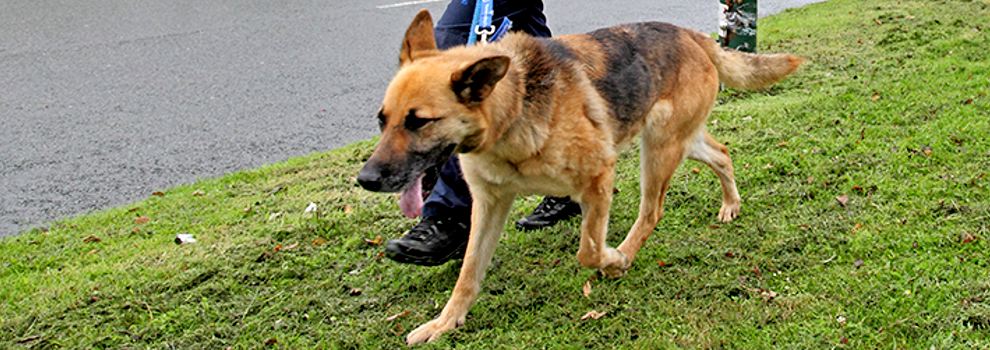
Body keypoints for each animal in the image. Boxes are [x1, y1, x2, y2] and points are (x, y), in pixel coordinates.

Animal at [358, 8, 808, 344]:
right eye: (383, 120)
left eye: (419, 122)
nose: (366, 179)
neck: (512, 108)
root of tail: (692, 35)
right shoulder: (489, 205)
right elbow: (468, 273)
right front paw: (445, 322)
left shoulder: (598, 180)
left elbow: (588, 251)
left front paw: (612, 260)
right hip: (678, 141)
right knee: (722, 154)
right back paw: (731, 204)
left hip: (659, 149)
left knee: (652, 211)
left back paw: (625, 253)